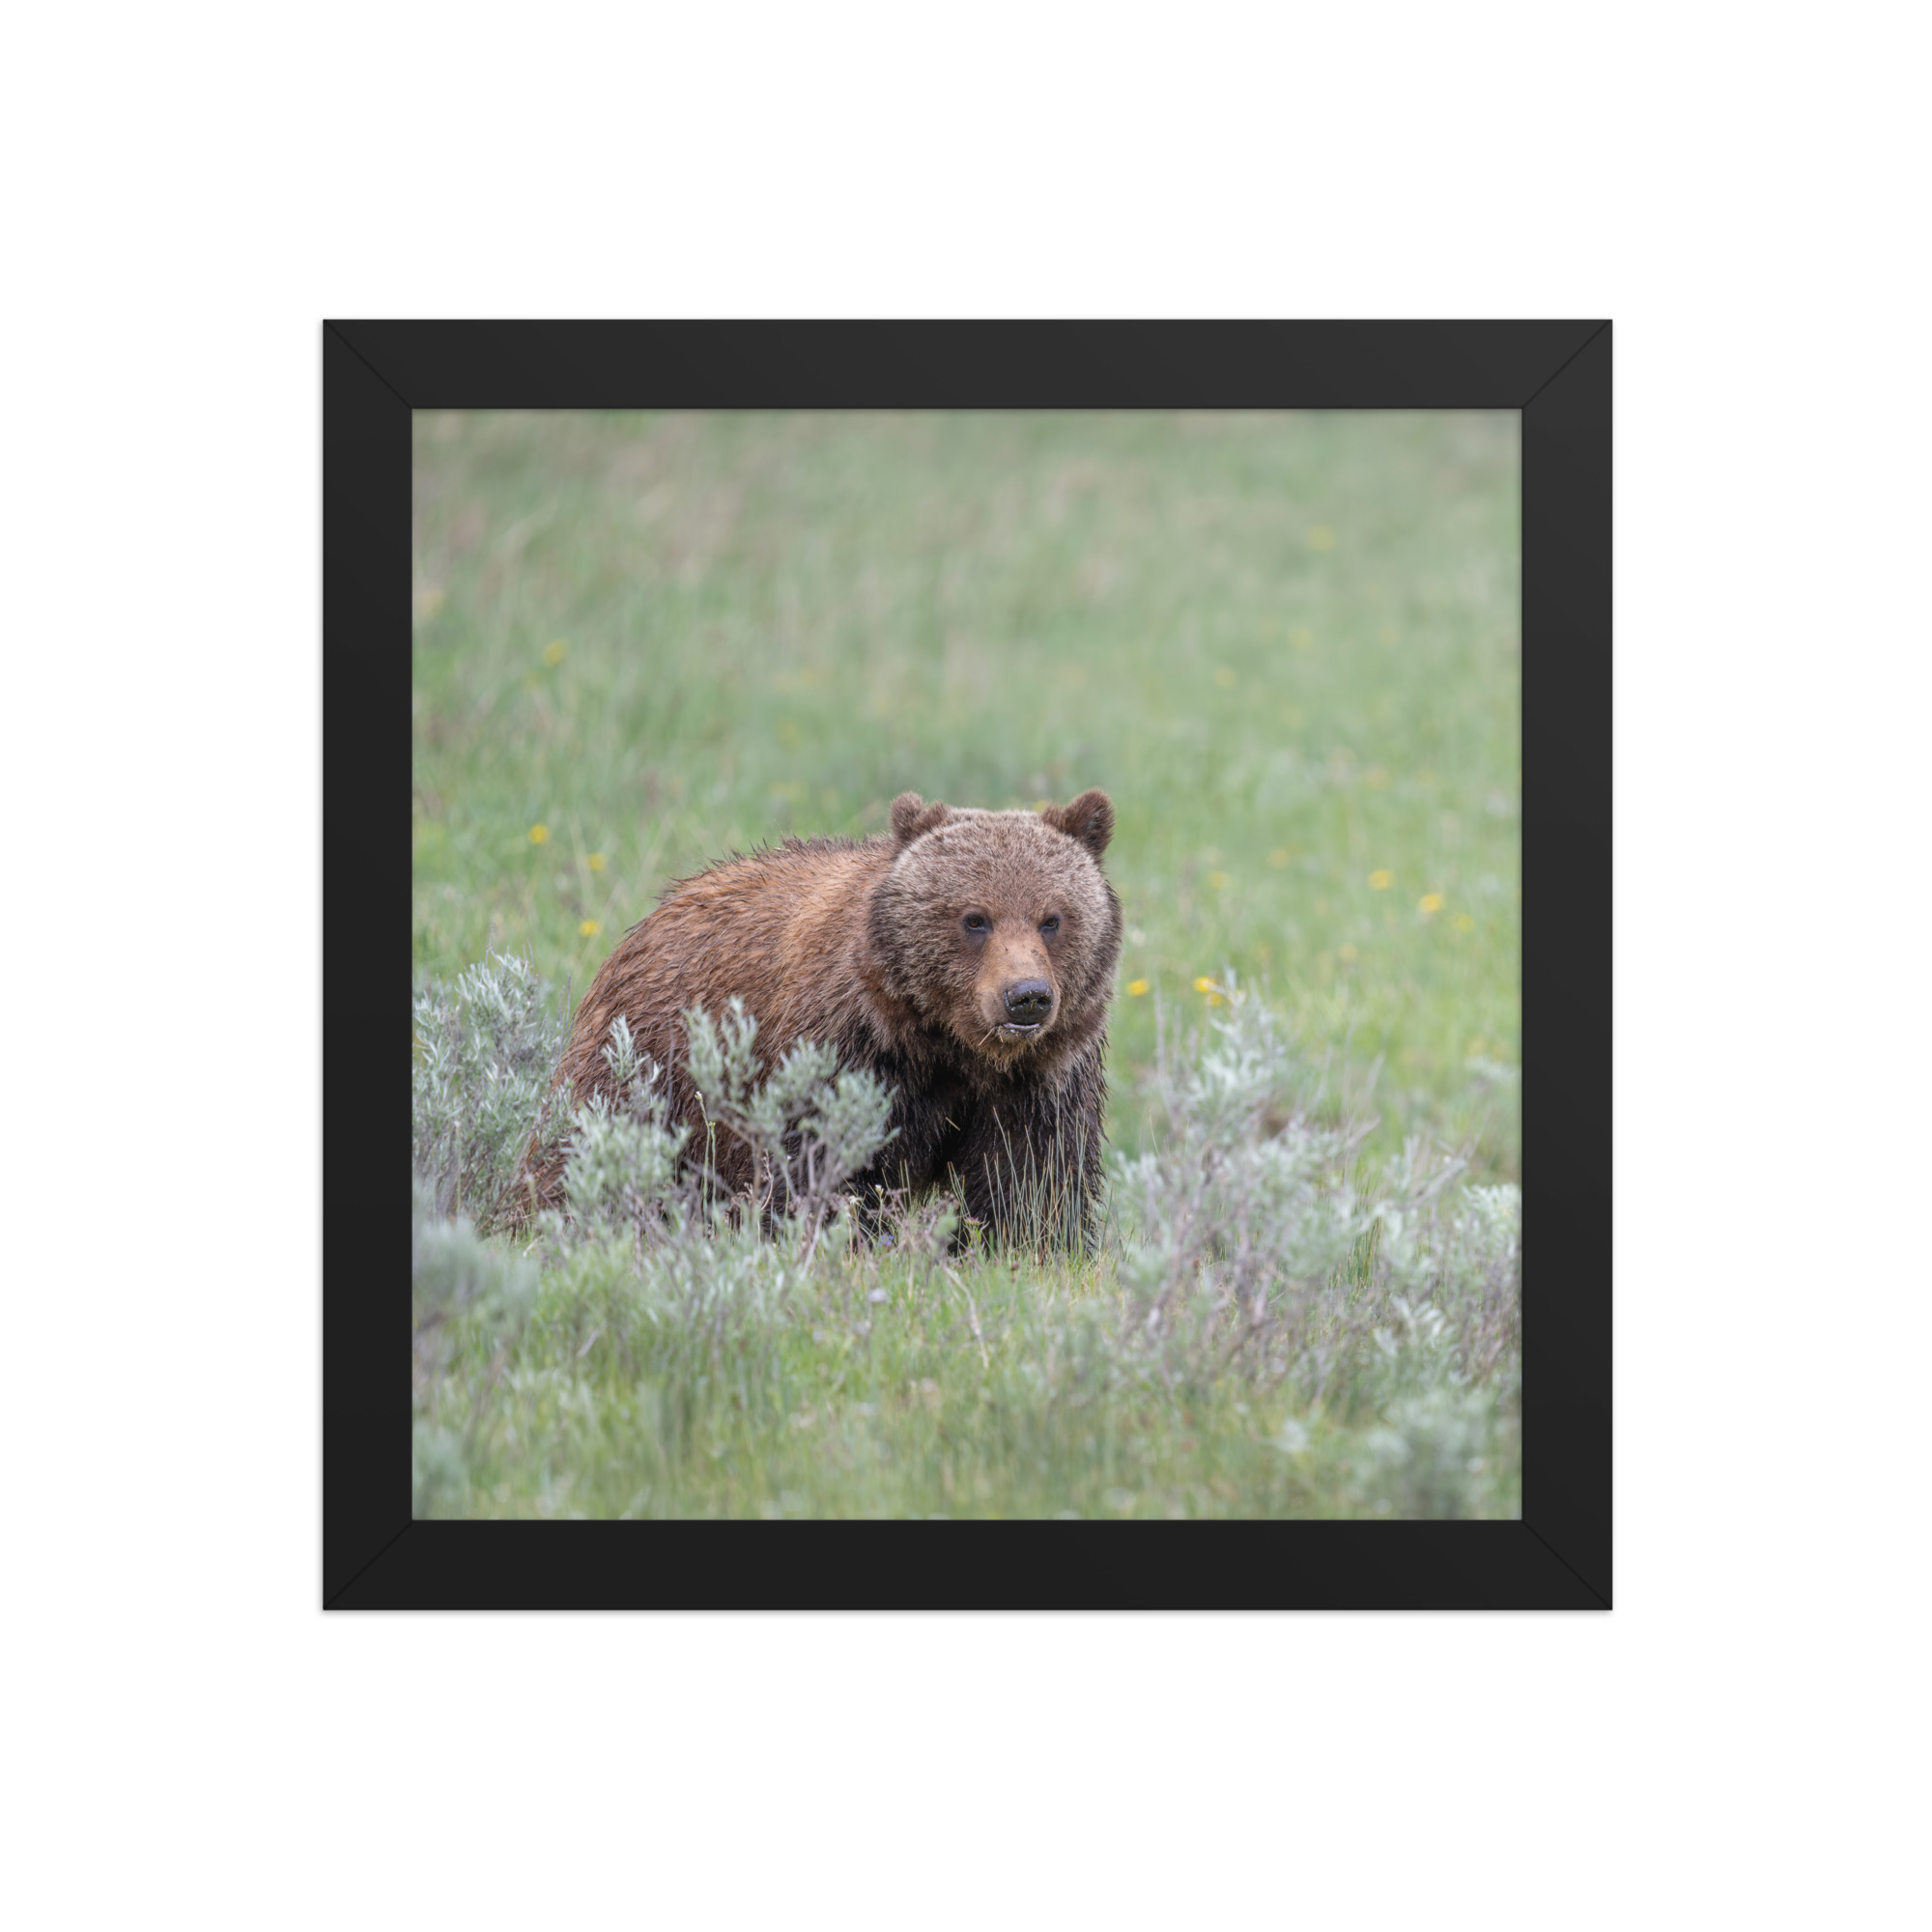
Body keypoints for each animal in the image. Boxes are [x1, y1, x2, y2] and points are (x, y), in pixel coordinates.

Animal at [518, 788, 1123, 1248]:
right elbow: (820, 1167)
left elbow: (1031, 1181)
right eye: (975, 918)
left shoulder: (1039, 1079)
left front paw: (1025, 1248)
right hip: (649, 1060)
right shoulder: (848, 1052)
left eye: (1052, 918)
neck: (949, 1045)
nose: (1026, 997)